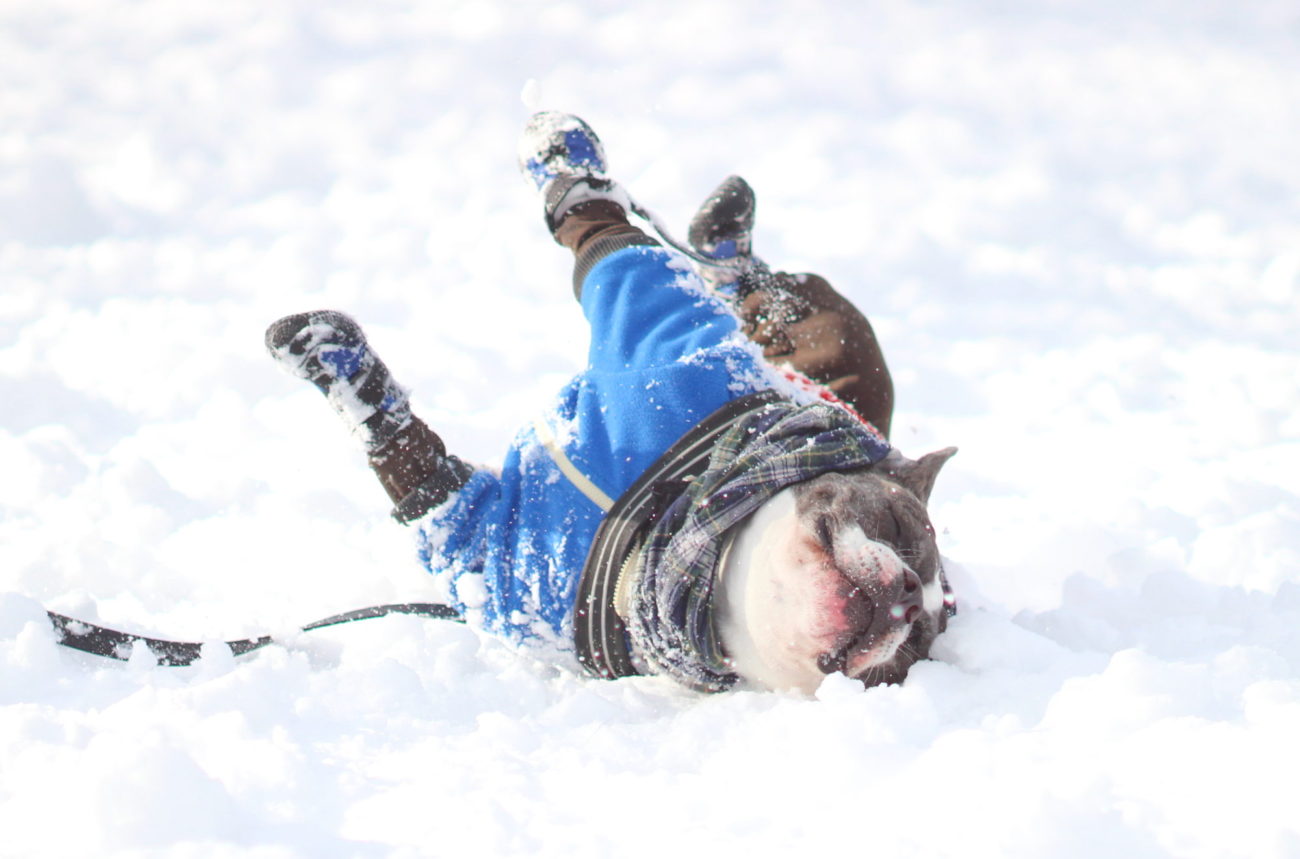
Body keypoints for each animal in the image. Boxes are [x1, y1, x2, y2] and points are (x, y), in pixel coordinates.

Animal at [266, 112, 956, 691]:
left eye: (913, 647)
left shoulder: (476, 538)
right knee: (741, 277)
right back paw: (727, 232)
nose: (904, 595)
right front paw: (564, 154)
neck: (678, 527)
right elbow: (607, 234)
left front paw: (337, 364)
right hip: (833, 347)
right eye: (897, 526)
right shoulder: (658, 318)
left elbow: (407, 454)